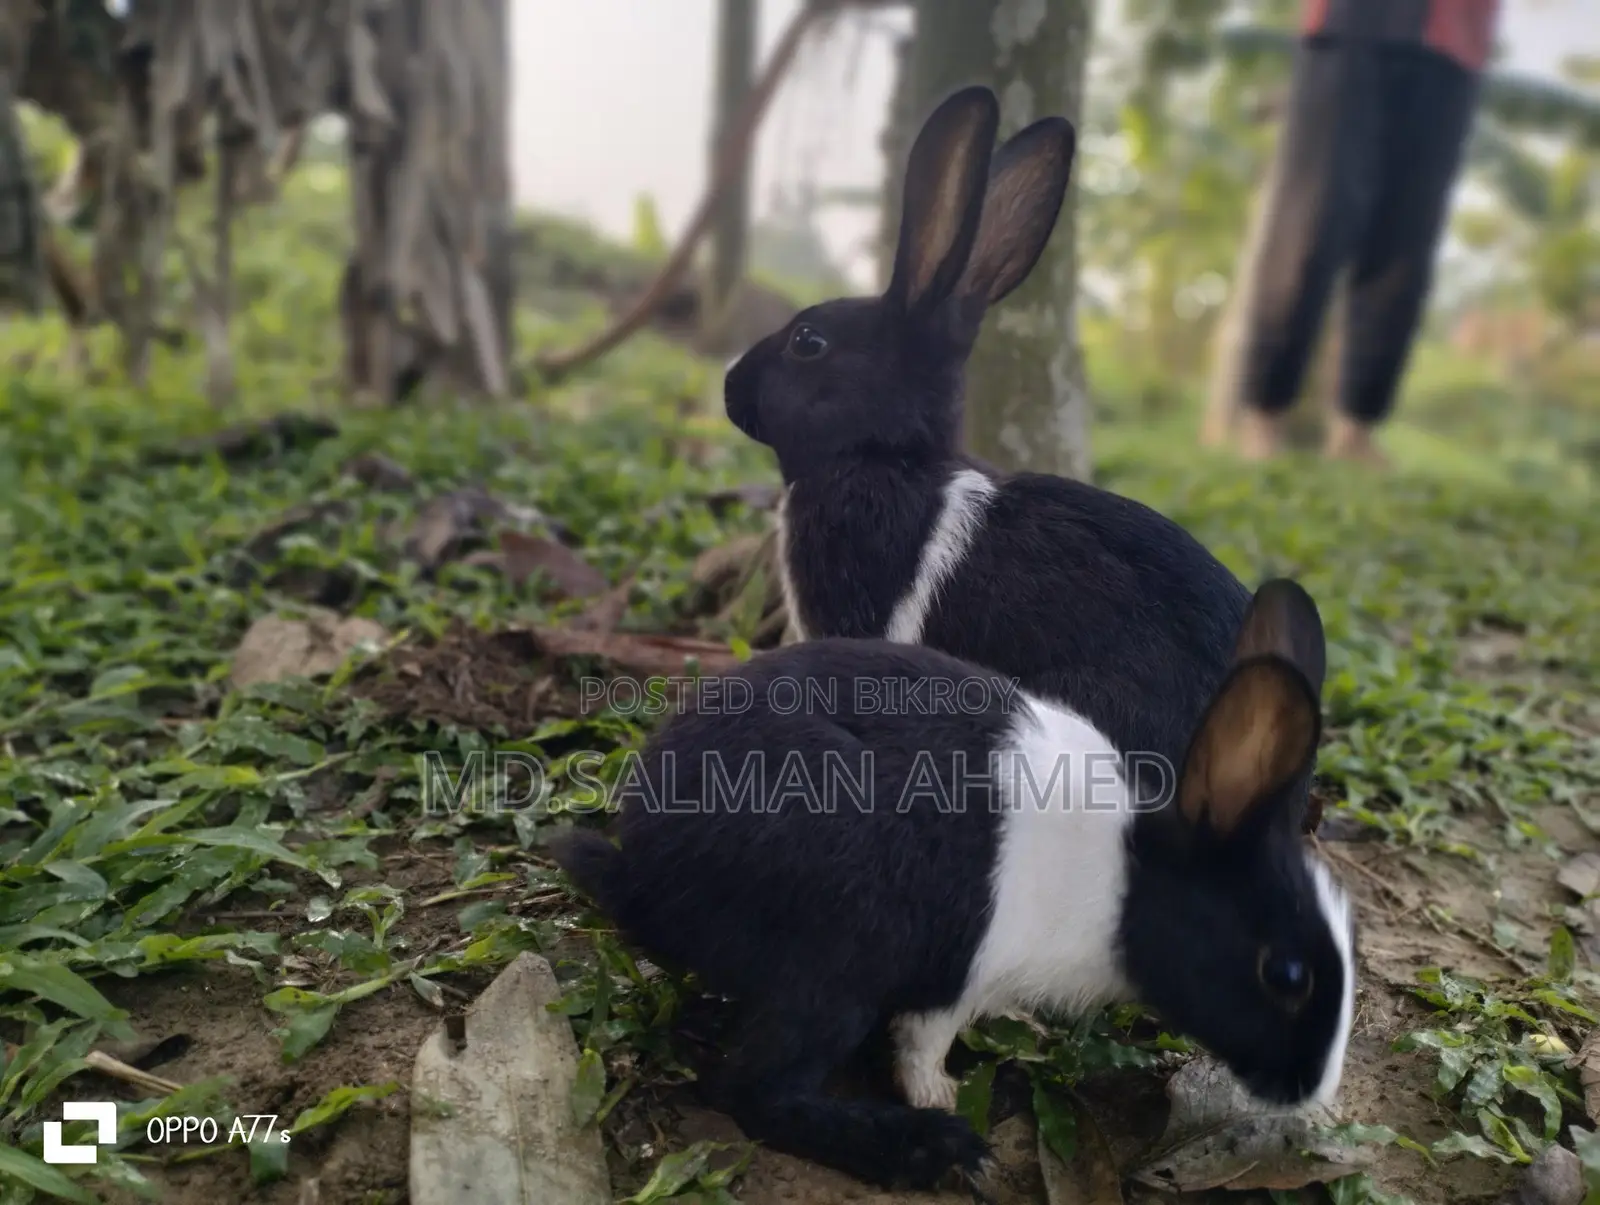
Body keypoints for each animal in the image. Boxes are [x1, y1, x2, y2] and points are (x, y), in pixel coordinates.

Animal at [549, 578, 1355, 1193]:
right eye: (1286, 974)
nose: (1316, 1090)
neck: (1126, 880)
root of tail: (642, 870)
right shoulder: (964, 967)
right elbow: (921, 1041)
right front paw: (940, 1097)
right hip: (840, 954)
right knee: (755, 1089)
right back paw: (927, 1149)